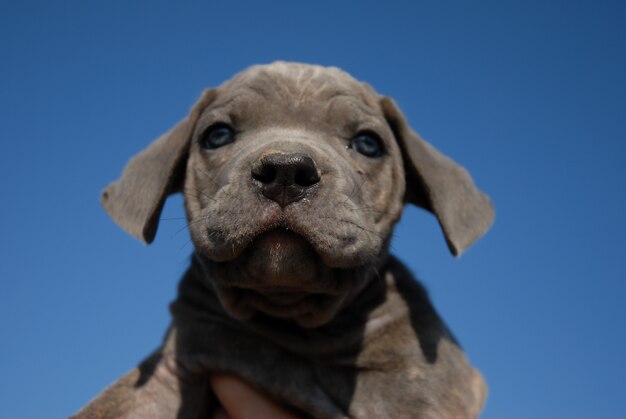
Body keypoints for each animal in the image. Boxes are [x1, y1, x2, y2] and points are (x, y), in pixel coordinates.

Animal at [74, 60, 492, 418]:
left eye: (368, 144)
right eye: (217, 135)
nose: (286, 171)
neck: (291, 320)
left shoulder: (420, 392)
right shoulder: (170, 372)